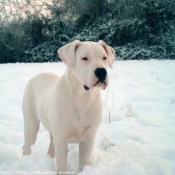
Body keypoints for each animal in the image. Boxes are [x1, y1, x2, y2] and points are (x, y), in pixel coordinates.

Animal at [22, 40, 115, 172]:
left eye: (104, 57)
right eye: (84, 58)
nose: (101, 71)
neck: (82, 98)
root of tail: (39, 74)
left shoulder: (88, 139)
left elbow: (83, 165)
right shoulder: (62, 140)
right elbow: (62, 166)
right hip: (31, 125)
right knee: (27, 146)